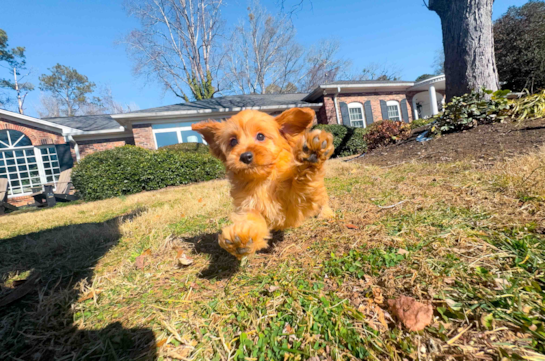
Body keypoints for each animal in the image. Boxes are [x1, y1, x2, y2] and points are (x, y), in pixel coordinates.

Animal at [191, 107, 336, 258]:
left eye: (260, 136)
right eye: (233, 141)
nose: (245, 156)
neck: (263, 180)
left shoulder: (297, 203)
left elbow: (302, 184)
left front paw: (312, 153)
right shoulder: (248, 205)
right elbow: (252, 220)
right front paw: (242, 238)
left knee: (322, 200)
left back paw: (326, 213)